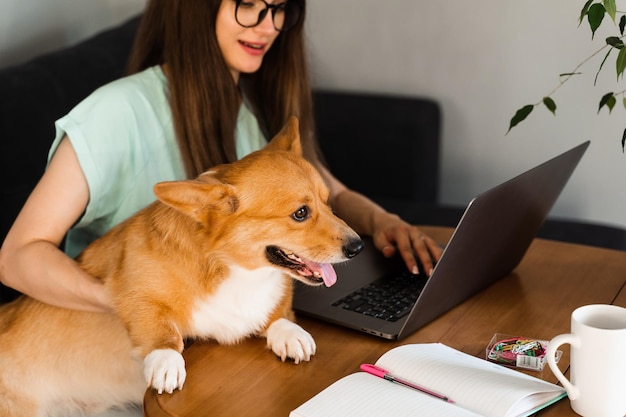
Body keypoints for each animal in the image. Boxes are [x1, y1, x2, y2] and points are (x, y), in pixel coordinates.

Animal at [0, 118, 364, 416]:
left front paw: (288, 332)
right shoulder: (130, 288)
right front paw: (166, 359)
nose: (358, 247)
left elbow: (276, 313)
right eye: (301, 213)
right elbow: (161, 326)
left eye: (328, 203)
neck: (235, 270)